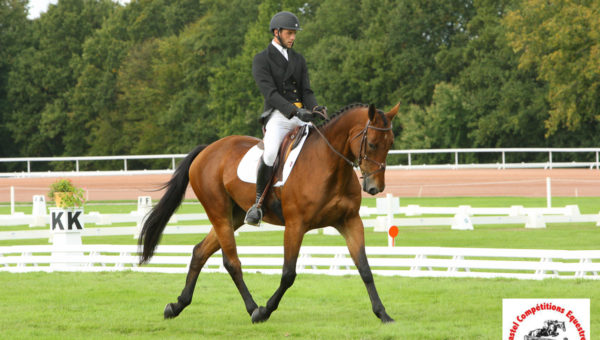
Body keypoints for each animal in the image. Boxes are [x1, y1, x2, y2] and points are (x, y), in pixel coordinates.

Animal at [139, 102, 398, 322]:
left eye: (390, 144)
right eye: (372, 143)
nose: (375, 187)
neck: (330, 166)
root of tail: (207, 150)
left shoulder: (350, 221)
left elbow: (365, 268)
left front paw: (383, 314)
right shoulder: (295, 226)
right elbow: (288, 274)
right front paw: (265, 311)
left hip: (234, 216)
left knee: (200, 252)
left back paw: (177, 305)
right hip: (219, 212)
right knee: (232, 262)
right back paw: (252, 308)